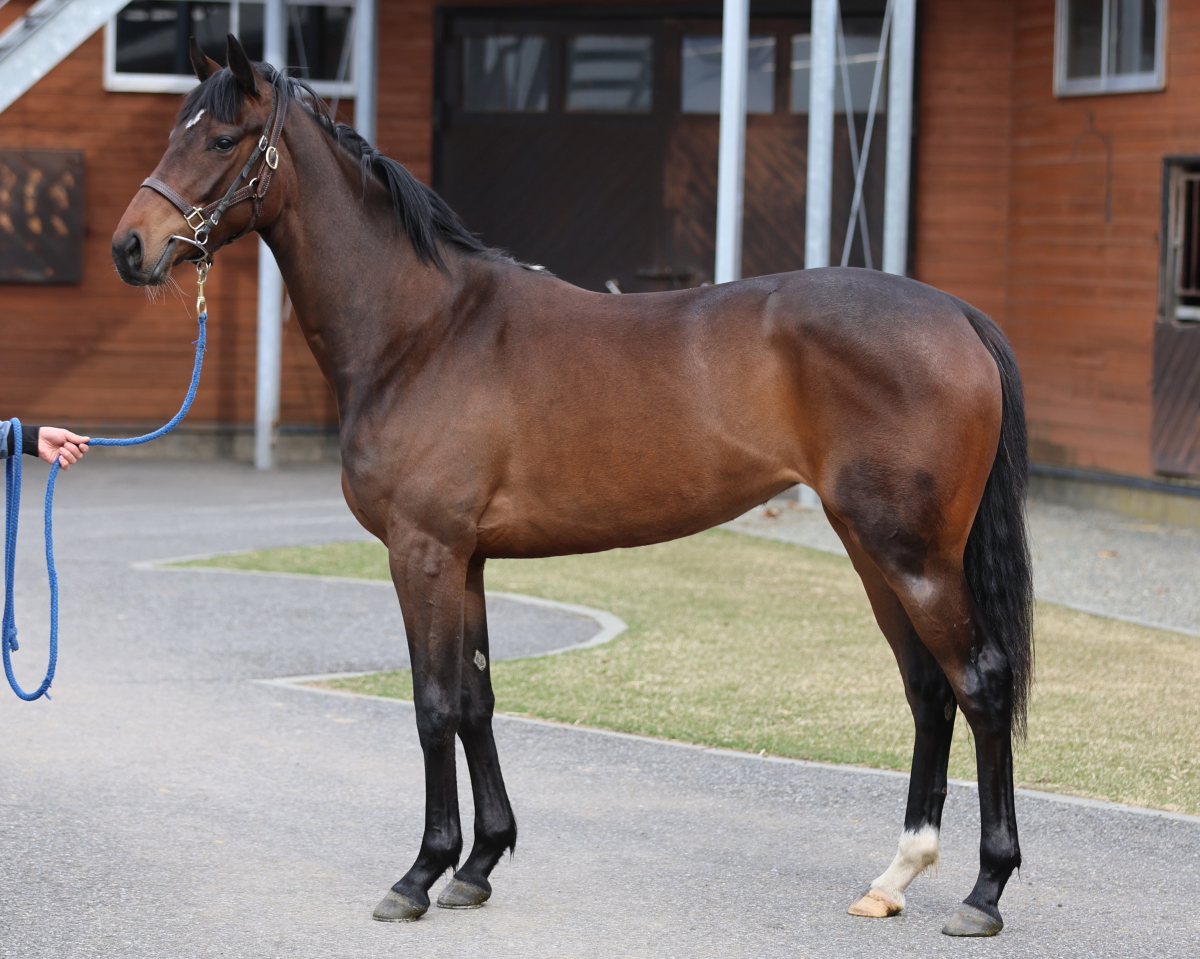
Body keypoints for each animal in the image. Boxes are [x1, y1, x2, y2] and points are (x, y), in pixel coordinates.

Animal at [111, 34, 1033, 939]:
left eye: (220, 139)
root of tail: (958, 315)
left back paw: (985, 890)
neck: (424, 331)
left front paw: (419, 873)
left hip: (913, 556)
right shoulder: (467, 559)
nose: (130, 248)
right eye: (176, 132)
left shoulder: (423, 551)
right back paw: (895, 876)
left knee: (980, 682)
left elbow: (432, 705)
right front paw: (479, 863)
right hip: (872, 549)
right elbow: (477, 700)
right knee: (928, 691)